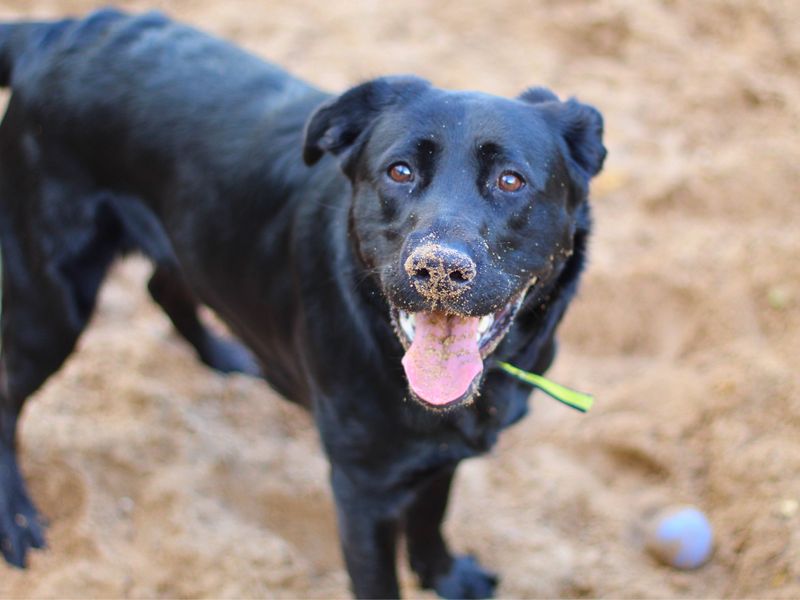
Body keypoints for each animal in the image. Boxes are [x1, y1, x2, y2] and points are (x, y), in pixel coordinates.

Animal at [0, 10, 600, 600]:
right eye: (399, 171)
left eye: (510, 180)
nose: (438, 271)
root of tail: (62, 28)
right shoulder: (362, 490)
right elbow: (382, 576)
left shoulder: (440, 453)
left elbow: (432, 511)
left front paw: (446, 577)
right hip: (50, 305)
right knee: (10, 393)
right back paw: (16, 519)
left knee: (164, 285)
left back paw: (230, 356)